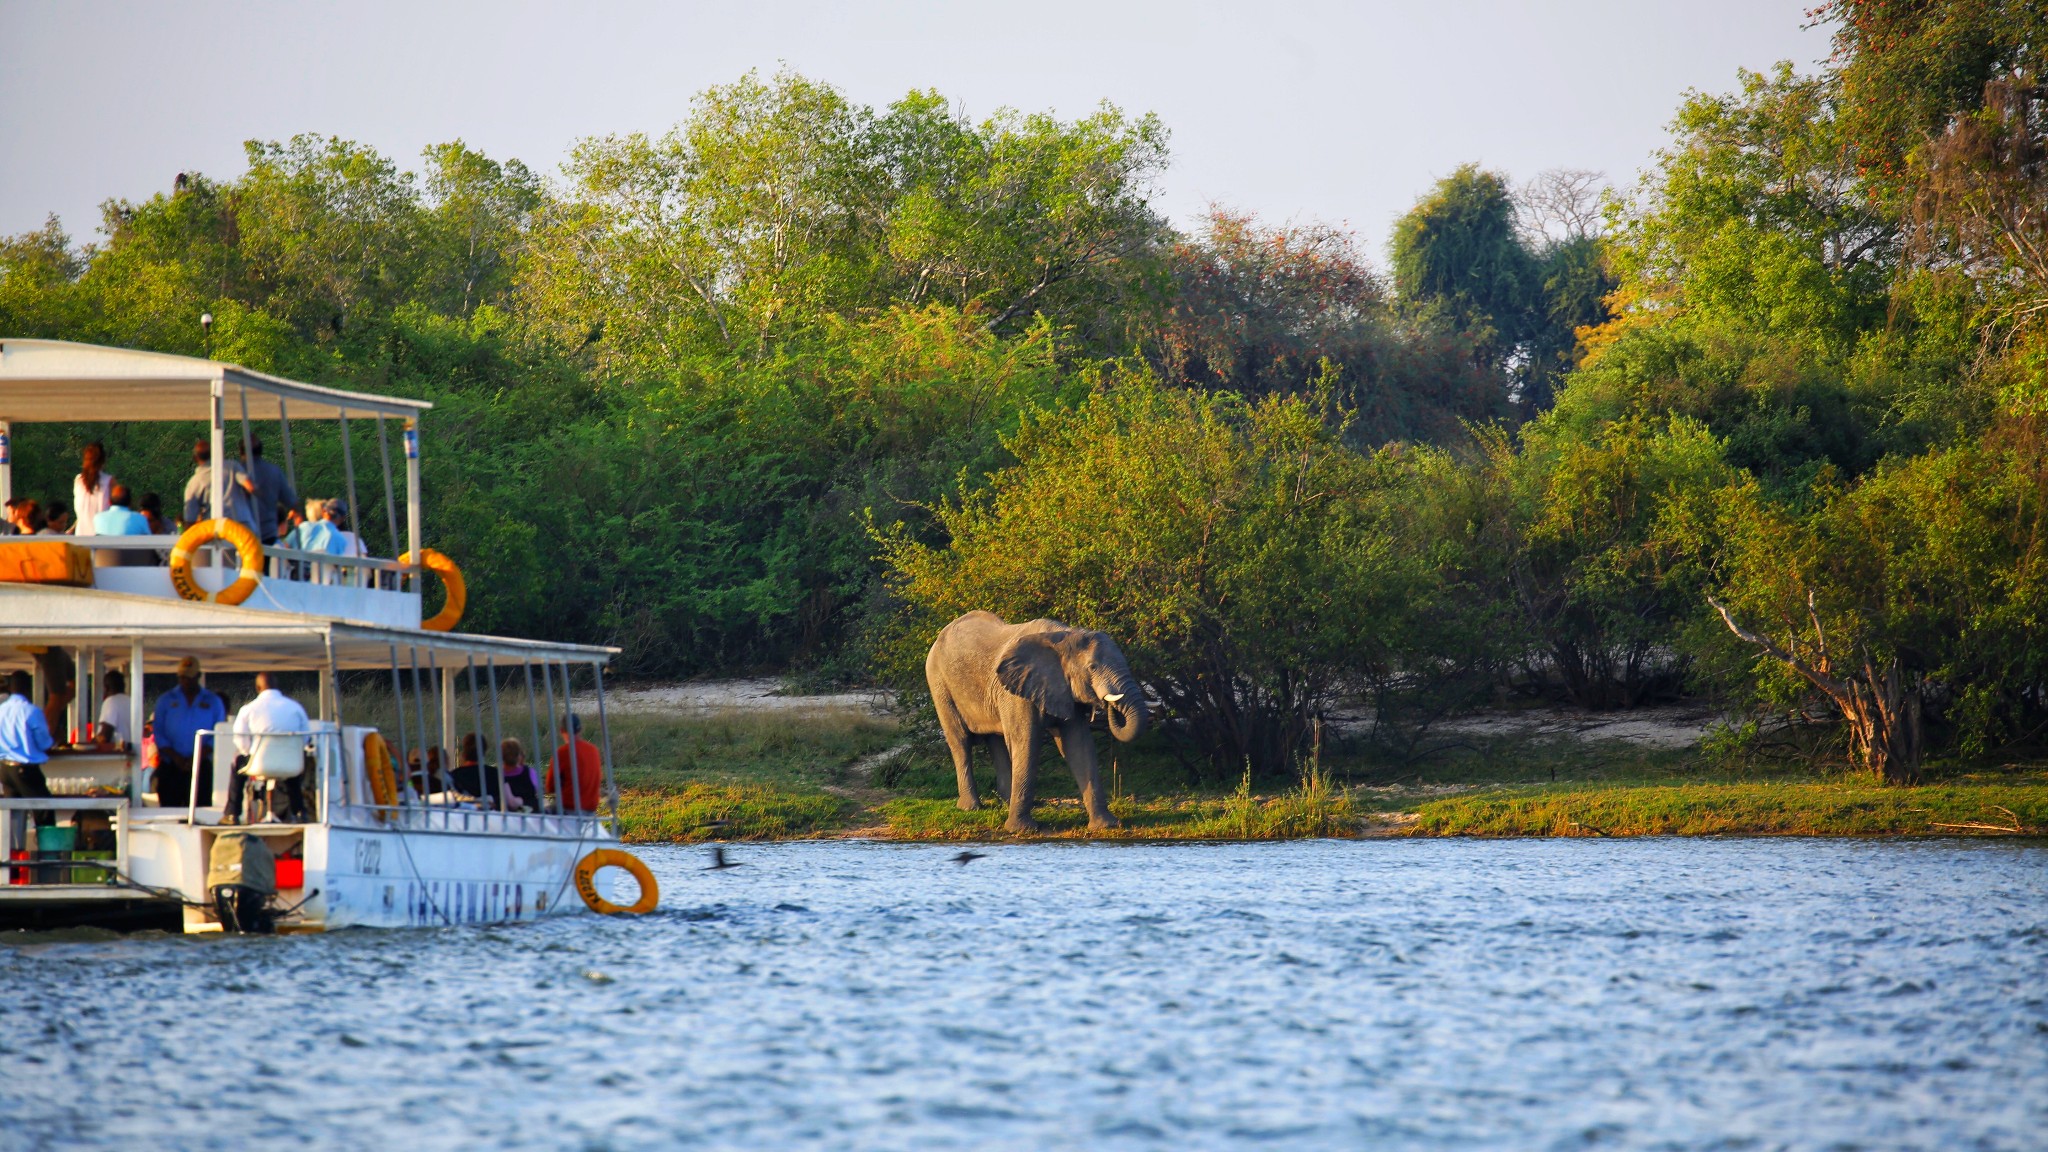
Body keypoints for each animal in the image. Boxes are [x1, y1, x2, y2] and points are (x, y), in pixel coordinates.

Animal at [933, 606, 1155, 828]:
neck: (1064, 637)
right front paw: (1022, 829)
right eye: (1092, 667)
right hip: (939, 684)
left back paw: (1005, 802)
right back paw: (971, 807)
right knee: (961, 741)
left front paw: (1106, 825)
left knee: (995, 741)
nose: (1106, 705)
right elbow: (1026, 742)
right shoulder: (1016, 693)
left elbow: (1078, 745)